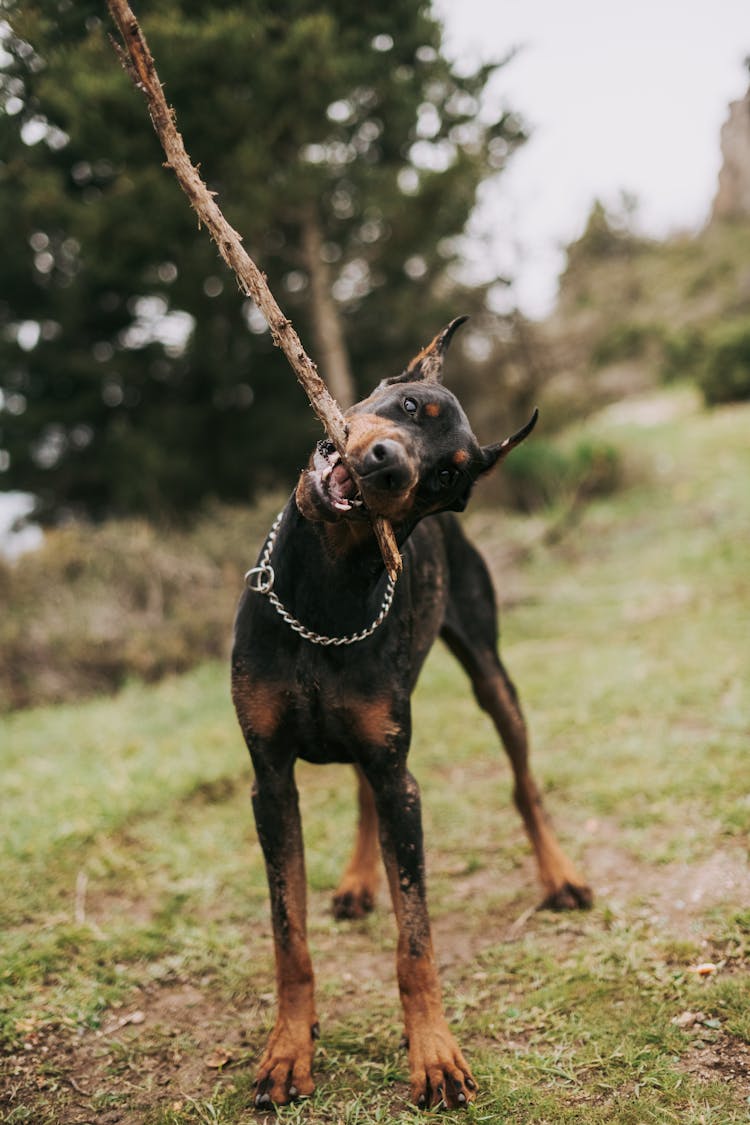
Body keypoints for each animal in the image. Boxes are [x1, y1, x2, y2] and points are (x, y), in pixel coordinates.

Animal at [230, 317, 593, 1107]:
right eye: (408, 406)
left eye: (449, 475)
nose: (390, 467)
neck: (325, 593)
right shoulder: (270, 778)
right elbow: (288, 934)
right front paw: (287, 1050)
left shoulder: (404, 783)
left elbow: (416, 941)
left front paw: (433, 1054)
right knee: (365, 794)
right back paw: (357, 881)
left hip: (489, 673)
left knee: (523, 781)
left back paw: (559, 874)